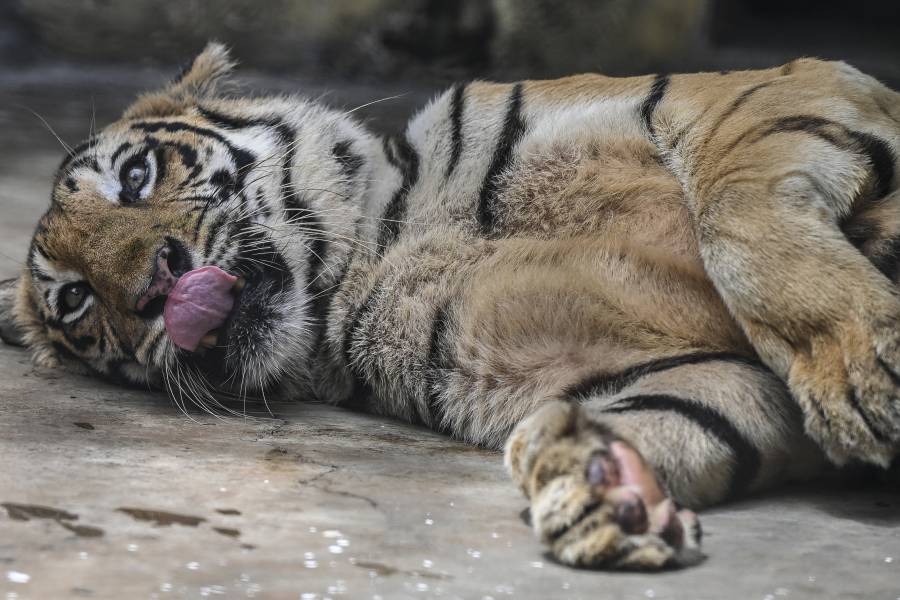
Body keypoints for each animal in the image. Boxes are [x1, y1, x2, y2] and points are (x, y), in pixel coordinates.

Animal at [1, 41, 900, 568]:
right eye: (76, 299)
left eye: (136, 177)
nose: (155, 285)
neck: (375, 249)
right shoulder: (677, 365)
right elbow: (686, 411)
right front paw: (605, 486)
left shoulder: (761, 93)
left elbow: (736, 219)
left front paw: (862, 367)